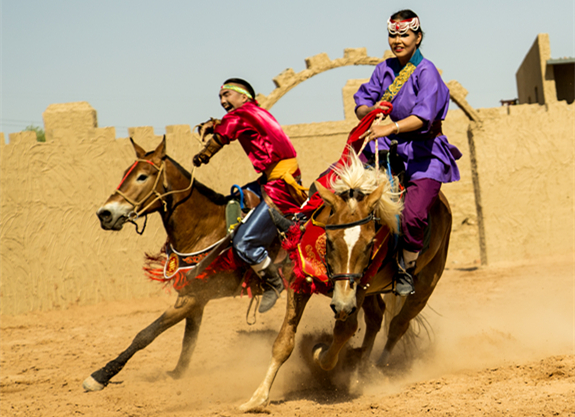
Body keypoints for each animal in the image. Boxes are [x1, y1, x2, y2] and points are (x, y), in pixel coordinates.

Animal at [83, 136, 274, 390]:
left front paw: (100, 375)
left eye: (142, 176)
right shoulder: (192, 297)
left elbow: (146, 334)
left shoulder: (193, 298)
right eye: (125, 173)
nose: (104, 214)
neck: (207, 230)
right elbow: (188, 341)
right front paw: (177, 373)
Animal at [238, 150, 450, 410]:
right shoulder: (301, 280)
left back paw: (376, 366)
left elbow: (343, 331)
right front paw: (258, 397)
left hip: (425, 283)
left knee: (398, 324)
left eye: (370, 244)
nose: (341, 304)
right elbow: (284, 343)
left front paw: (319, 351)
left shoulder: (357, 288)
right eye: (329, 240)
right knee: (376, 317)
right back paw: (361, 364)